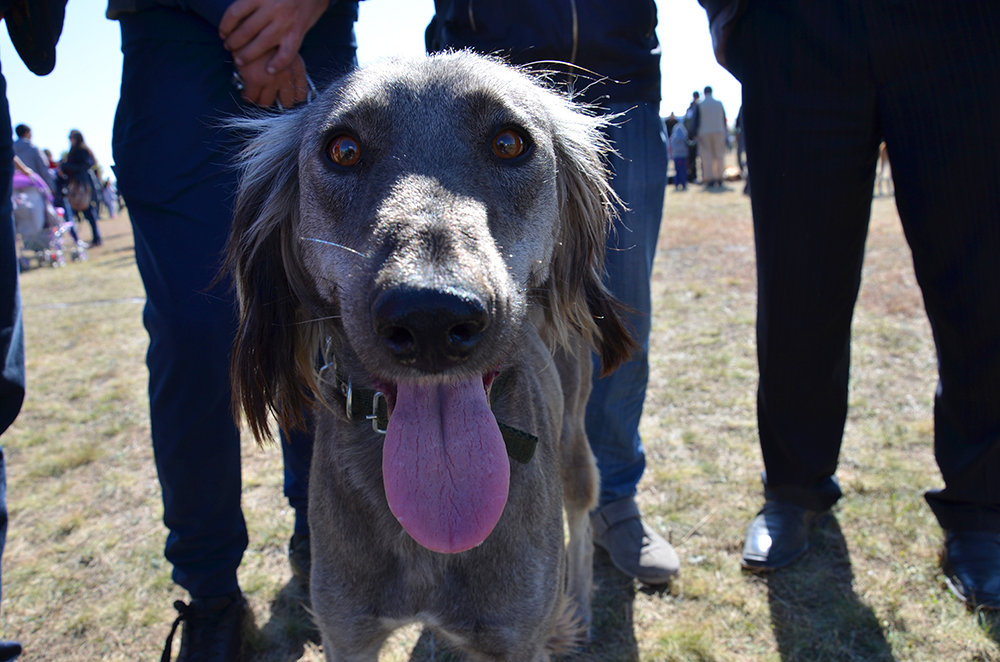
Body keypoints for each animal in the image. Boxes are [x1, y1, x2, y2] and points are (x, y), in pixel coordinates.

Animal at [225, 53, 632, 662]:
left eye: (509, 143)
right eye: (343, 150)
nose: (431, 317)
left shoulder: (516, 638)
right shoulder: (347, 633)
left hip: (574, 446)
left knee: (582, 522)